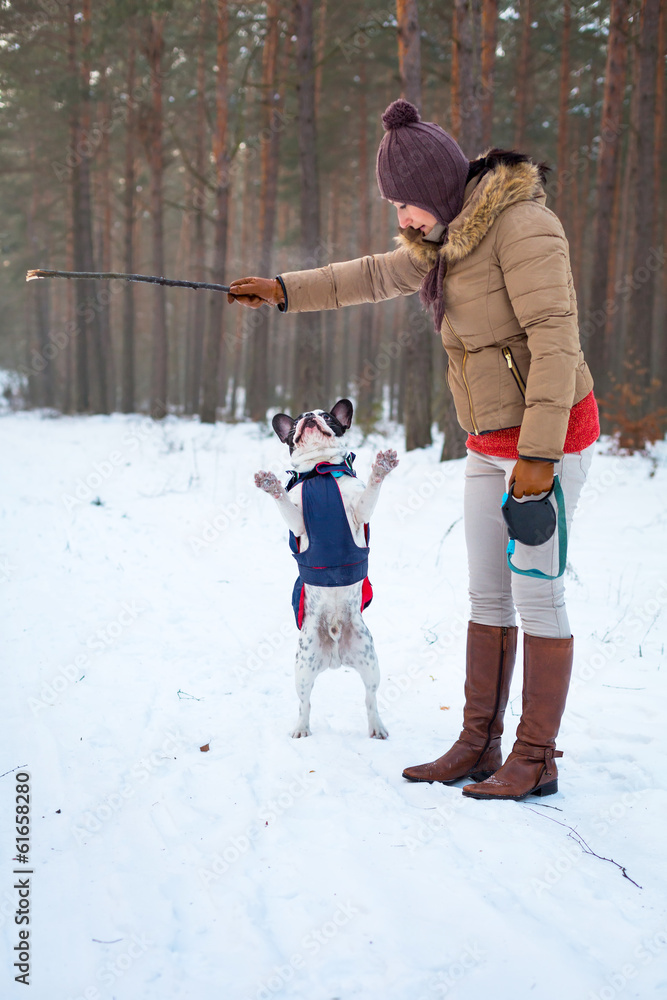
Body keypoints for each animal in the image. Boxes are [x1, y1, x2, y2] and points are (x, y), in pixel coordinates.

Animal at [258, 396, 400, 736]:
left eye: (327, 416)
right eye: (297, 420)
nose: (310, 417)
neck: (320, 470)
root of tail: (336, 651)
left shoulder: (360, 512)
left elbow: (371, 490)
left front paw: (381, 468)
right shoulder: (297, 523)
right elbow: (284, 502)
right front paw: (271, 485)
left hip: (369, 660)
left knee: (370, 698)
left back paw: (377, 729)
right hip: (303, 667)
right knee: (304, 702)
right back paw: (301, 729)